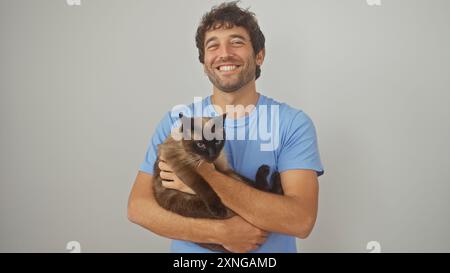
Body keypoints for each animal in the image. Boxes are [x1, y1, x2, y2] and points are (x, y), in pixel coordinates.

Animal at [153, 112, 284, 251]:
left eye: (217, 142)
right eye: (200, 145)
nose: (212, 155)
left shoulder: (223, 169)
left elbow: (245, 180)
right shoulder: (185, 168)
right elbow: (204, 186)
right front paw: (217, 208)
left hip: (231, 176)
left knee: (259, 189)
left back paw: (269, 173)